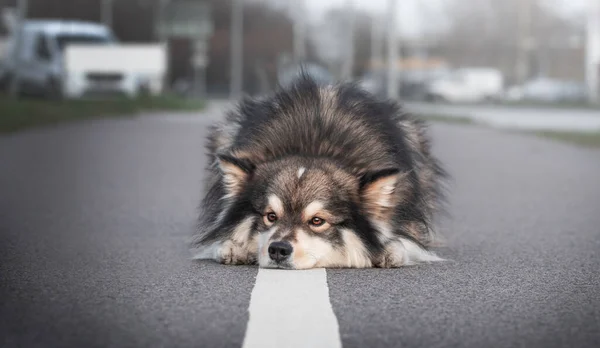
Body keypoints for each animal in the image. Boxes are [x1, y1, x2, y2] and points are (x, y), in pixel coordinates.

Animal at [190, 77, 448, 270]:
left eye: (317, 221)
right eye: (270, 216)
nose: (278, 249)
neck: (315, 147)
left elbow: (404, 241)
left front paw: (390, 250)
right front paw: (234, 246)